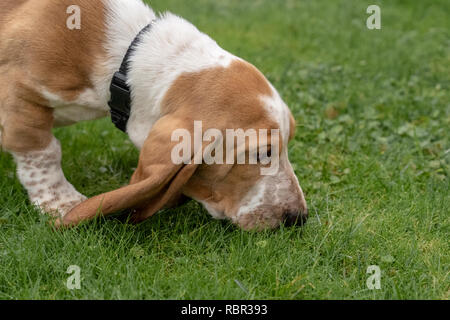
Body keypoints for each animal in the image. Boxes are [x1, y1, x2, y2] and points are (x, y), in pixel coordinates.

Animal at [0, 0, 308, 230]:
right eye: (262, 153)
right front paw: (61, 202)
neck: (126, 60)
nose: (298, 217)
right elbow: (42, 151)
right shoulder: (20, 94)